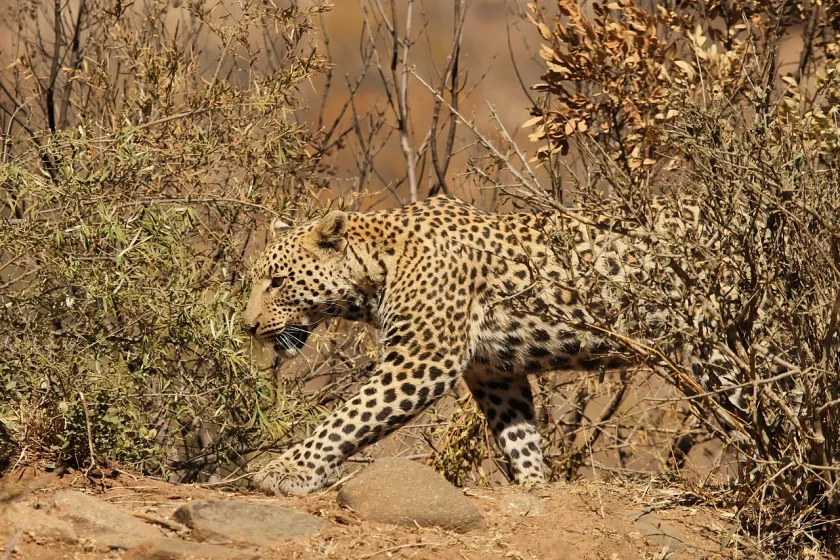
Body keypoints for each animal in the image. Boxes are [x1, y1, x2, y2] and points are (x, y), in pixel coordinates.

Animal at [243, 195, 748, 496]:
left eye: (277, 281)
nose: (248, 326)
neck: (377, 269)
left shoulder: (422, 359)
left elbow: (348, 417)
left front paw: (285, 471)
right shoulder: (494, 372)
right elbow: (519, 435)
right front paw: (533, 486)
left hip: (721, 347)